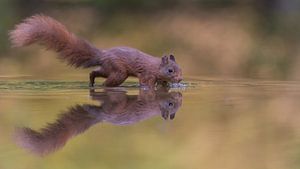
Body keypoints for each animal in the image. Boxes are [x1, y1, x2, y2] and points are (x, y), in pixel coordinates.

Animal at [8, 14, 183, 87]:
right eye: (170, 70)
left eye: (181, 69)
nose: (181, 79)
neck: (155, 65)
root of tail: (103, 54)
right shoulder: (147, 75)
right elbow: (146, 85)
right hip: (118, 72)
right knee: (104, 81)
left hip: (110, 69)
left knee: (95, 72)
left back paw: (91, 83)